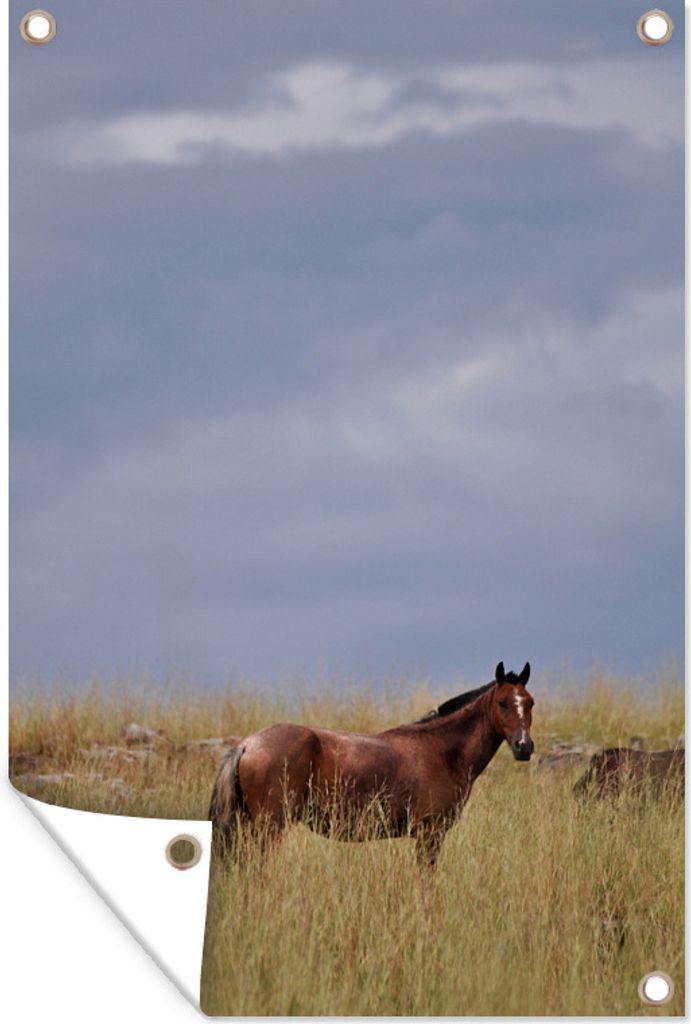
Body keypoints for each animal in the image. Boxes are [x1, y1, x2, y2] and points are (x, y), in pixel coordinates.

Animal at [209, 660, 534, 868]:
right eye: (503, 703)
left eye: (529, 702)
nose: (524, 746)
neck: (442, 750)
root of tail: (247, 745)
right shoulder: (429, 835)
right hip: (268, 828)